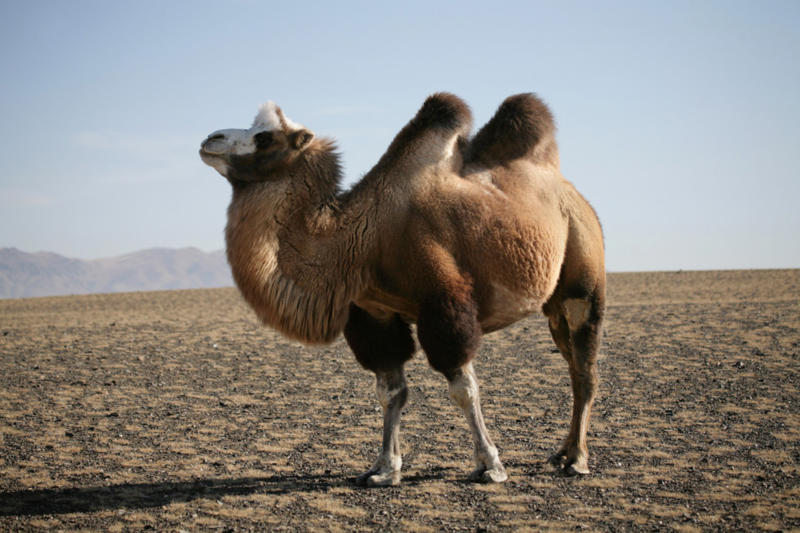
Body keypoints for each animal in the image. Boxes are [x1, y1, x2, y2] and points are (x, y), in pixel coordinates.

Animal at [199, 92, 605, 486]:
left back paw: (578, 460)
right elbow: (390, 392)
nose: (209, 140)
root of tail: (574, 195)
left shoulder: (445, 306)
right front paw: (383, 469)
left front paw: (490, 465)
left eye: (264, 137)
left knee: (585, 370)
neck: (363, 239)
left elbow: (464, 389)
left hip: (582, 276)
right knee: (572, 367)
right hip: (553, 305)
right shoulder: (374, 314)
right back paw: (562, 453)